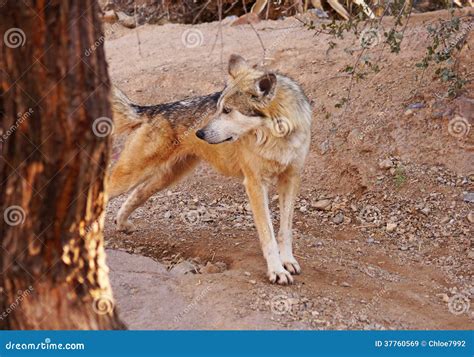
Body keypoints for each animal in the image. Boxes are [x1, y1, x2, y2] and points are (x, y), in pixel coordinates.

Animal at [107, 55, 312, 284]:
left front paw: (288, 261)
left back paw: (121, 224)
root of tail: (151, 109)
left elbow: (285, 231)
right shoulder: (255, 184)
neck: (278, 137)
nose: (199, 133)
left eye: (227, 110)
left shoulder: (291, 179)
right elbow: (268, 235)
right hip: (132, 175)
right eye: (218, 108)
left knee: (136, 194)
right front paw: (276, 270)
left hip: (163, 179)